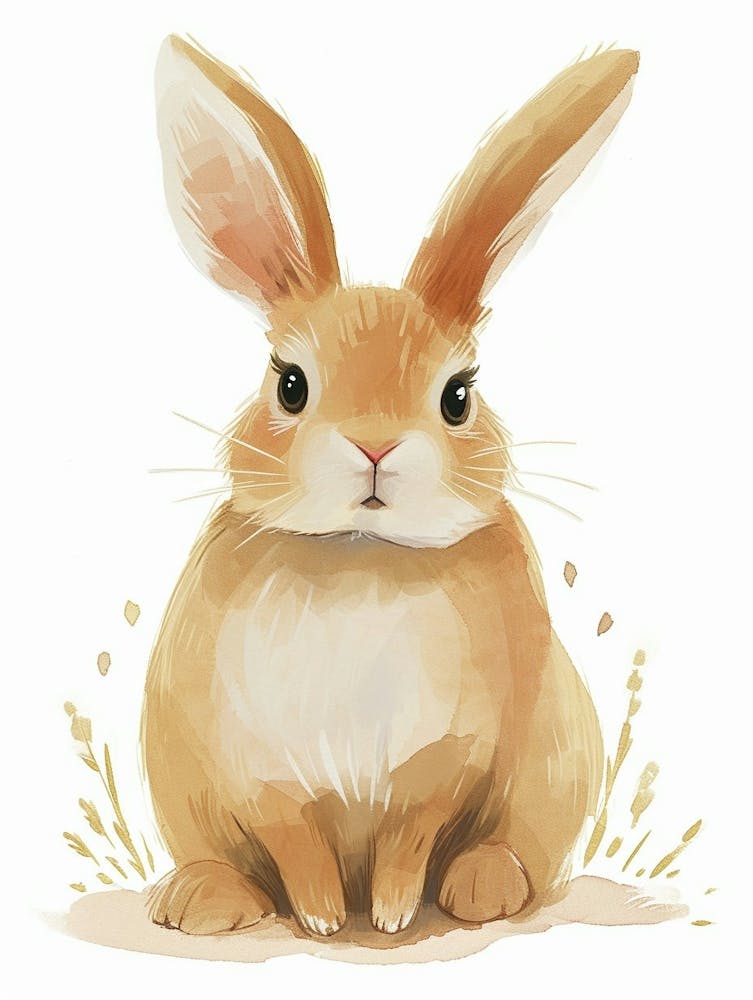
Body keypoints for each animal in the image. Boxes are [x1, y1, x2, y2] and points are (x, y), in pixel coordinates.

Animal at [142, 34, 639, 938]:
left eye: (457, 395)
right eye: (289, 385)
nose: (374, 445)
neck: (360, 554)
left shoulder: (443, 762)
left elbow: (411, 835)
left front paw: (394, 914)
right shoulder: (260, 770)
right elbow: (294, 840)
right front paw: (321, 918)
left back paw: (485, 885)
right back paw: (202, 899)